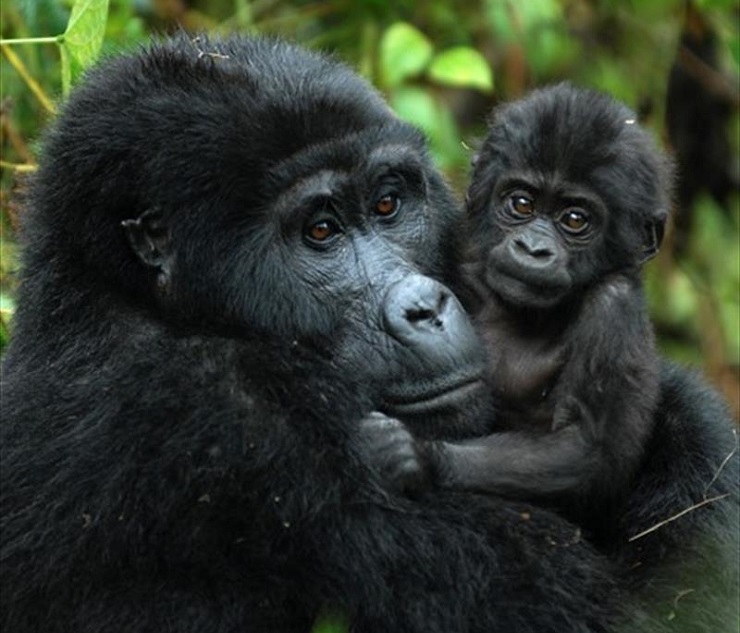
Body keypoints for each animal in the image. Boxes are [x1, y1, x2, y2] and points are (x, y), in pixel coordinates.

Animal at [372, 81, 672, 532]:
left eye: (575, 219)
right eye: (522, 204)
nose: (532, 248)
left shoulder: (614, 305)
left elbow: (586, 449)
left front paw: (420, 457)